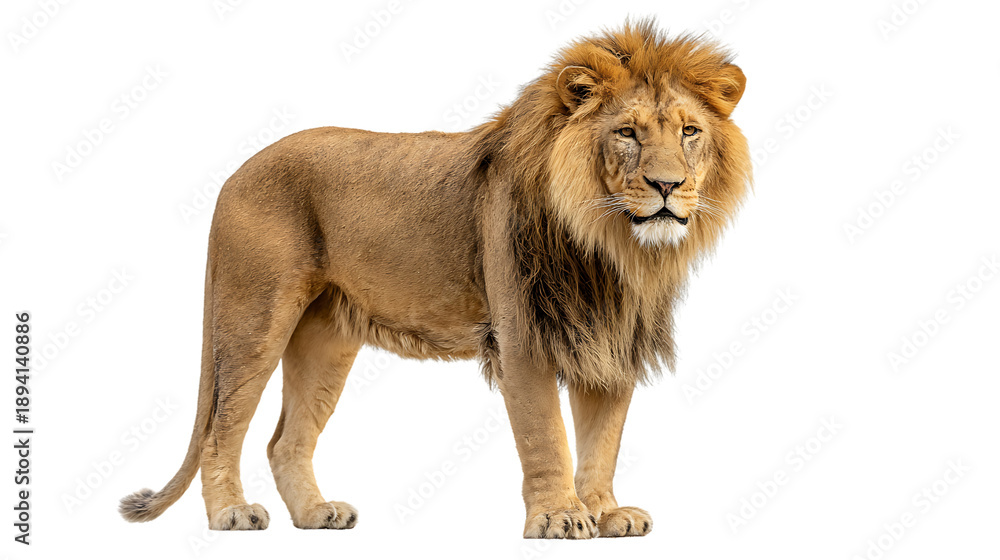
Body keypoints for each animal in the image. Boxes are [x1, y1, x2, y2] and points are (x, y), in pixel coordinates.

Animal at [119, 19, 751, 539]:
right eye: (627, 133)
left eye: (689, 132)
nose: (668, 186)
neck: (608, 245)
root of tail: (235, 173)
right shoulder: (522, 336)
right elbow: (546, 433)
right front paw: (560, 517)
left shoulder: (611, 338)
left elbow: (602, 441)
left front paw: (604, 512)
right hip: (254, 318)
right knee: (221, 428)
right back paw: (231, 513)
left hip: (325, 338)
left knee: (285, 440)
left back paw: (317, 514)